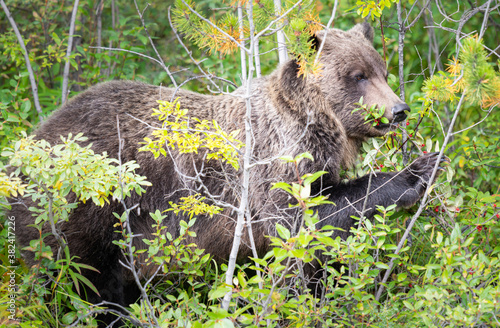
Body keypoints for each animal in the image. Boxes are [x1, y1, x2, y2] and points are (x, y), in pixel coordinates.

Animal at [10, 23, 442, 322]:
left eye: (381, 69)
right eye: (357, 75)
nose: (399, 109)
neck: (318, 131)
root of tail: (31, 143)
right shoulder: (269, 170)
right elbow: (301, 221)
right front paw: (414, 173)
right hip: (87, 211)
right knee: (81, 281)